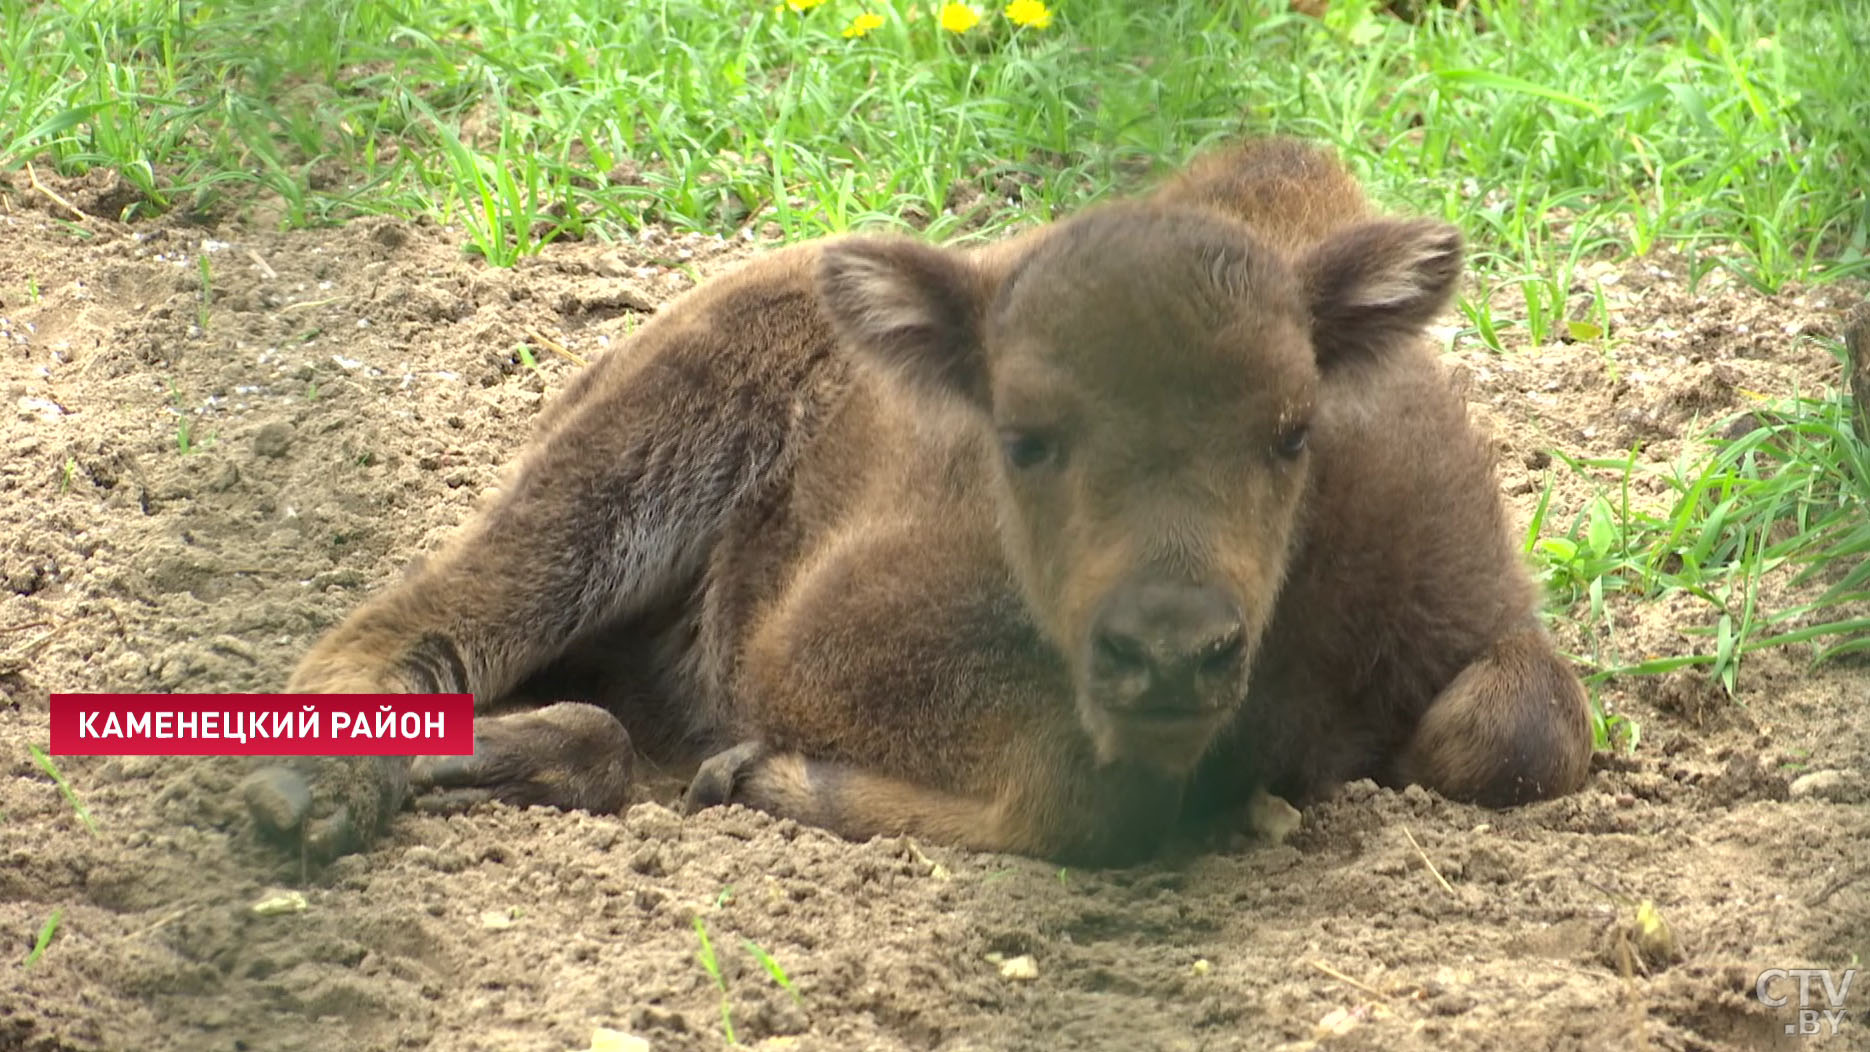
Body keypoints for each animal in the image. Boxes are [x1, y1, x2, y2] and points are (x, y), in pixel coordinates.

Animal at [256, 138, 1585, 863]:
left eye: (1291, 427)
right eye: (1021, 437)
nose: (1171, 651)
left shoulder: (1477, 606)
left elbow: (1523, 733)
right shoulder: (815, 645)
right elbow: (1080, 799)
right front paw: (757, 775)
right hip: (622, 464)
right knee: (417, 620)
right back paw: (316, 791)